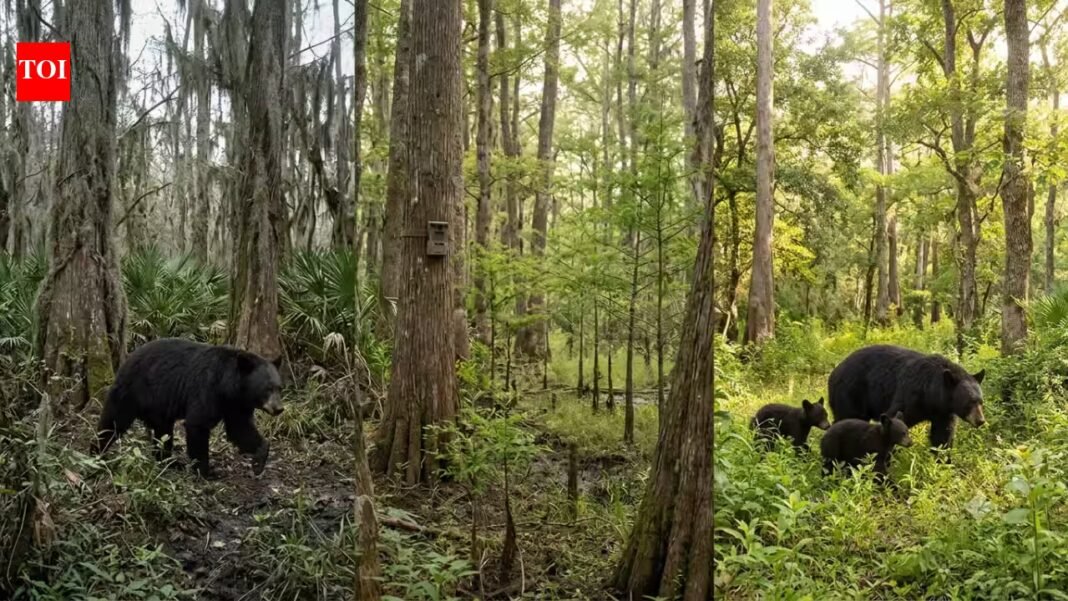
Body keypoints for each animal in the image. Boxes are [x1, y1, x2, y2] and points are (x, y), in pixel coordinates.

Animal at [95, 338, 284, 479]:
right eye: (267, 388)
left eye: (279, 387)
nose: (279, 408)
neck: (229, 388)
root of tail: (127, 359)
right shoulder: (207, 389)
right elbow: (198, 424)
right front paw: (207, 472)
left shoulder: (236, 405)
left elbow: (241, 429)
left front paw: (258, 463)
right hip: (132, 391)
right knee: (113, 421)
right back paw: (98, 453)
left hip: (158, 407)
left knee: (163, 432)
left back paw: (169, 462)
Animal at [828, 344, 985, 459]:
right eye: (970, 402)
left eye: (981, 402)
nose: (980, 420)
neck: (932, 394)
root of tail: (834, 372)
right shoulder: (911, 395)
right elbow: (894, 417)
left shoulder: (944, 412)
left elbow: (942, 435)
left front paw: (942, 461)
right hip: (850, 393)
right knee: (847, 417)